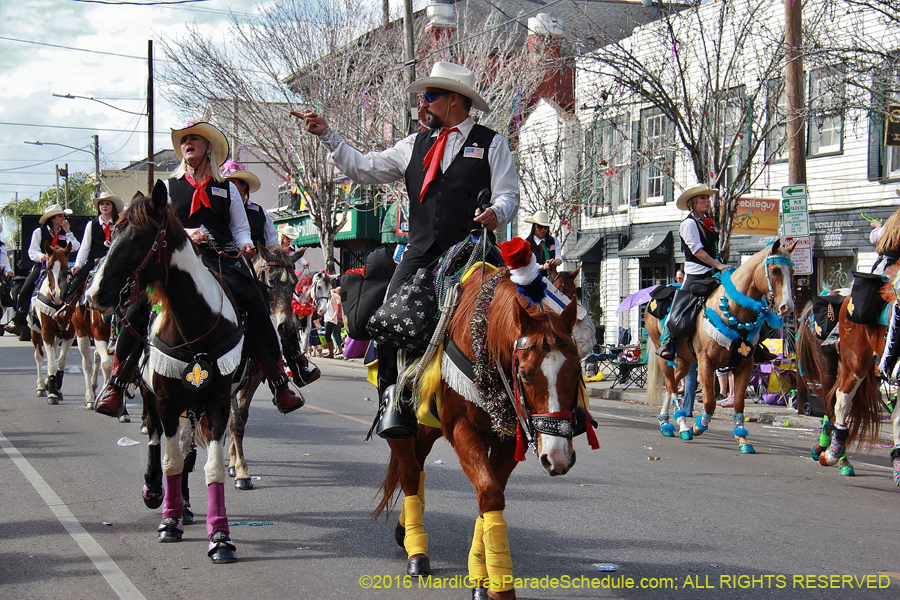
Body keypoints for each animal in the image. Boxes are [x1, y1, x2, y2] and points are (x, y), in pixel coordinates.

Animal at [30, 243, 76, 404]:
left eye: (66, 269)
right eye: (49, 268)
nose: (57, 296)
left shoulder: (69, 333)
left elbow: (61, 361)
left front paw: (57, 387)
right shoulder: (46, 332)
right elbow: (50, 362)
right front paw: (51, 393)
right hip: (35, 332)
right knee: (38, 356)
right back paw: (40, 386)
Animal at [372, 264, 584, 600]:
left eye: (576, 372)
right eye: (525, 375)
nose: (558, 458)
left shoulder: (507, 439)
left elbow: (490, 496)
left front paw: (484, 579)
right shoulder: (463, 430)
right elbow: (490, 493)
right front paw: (499, 584)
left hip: (429, 426)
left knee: (418, 464)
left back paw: (404, 531)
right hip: (403, 425)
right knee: (409, 472)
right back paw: (417, 552)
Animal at [648, 241, 796, 452]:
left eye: (792, 271)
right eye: (774, 270)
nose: (787, 307)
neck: (733, 309)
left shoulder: (745, 364)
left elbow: (739, 403)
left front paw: (742, 439)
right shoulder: (706, 363)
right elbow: (709, 402)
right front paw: (697, 427)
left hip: (684, 360)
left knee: (673, 384)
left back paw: (666, 422)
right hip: (665, 356)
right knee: (671, 385)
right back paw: (682, 426)